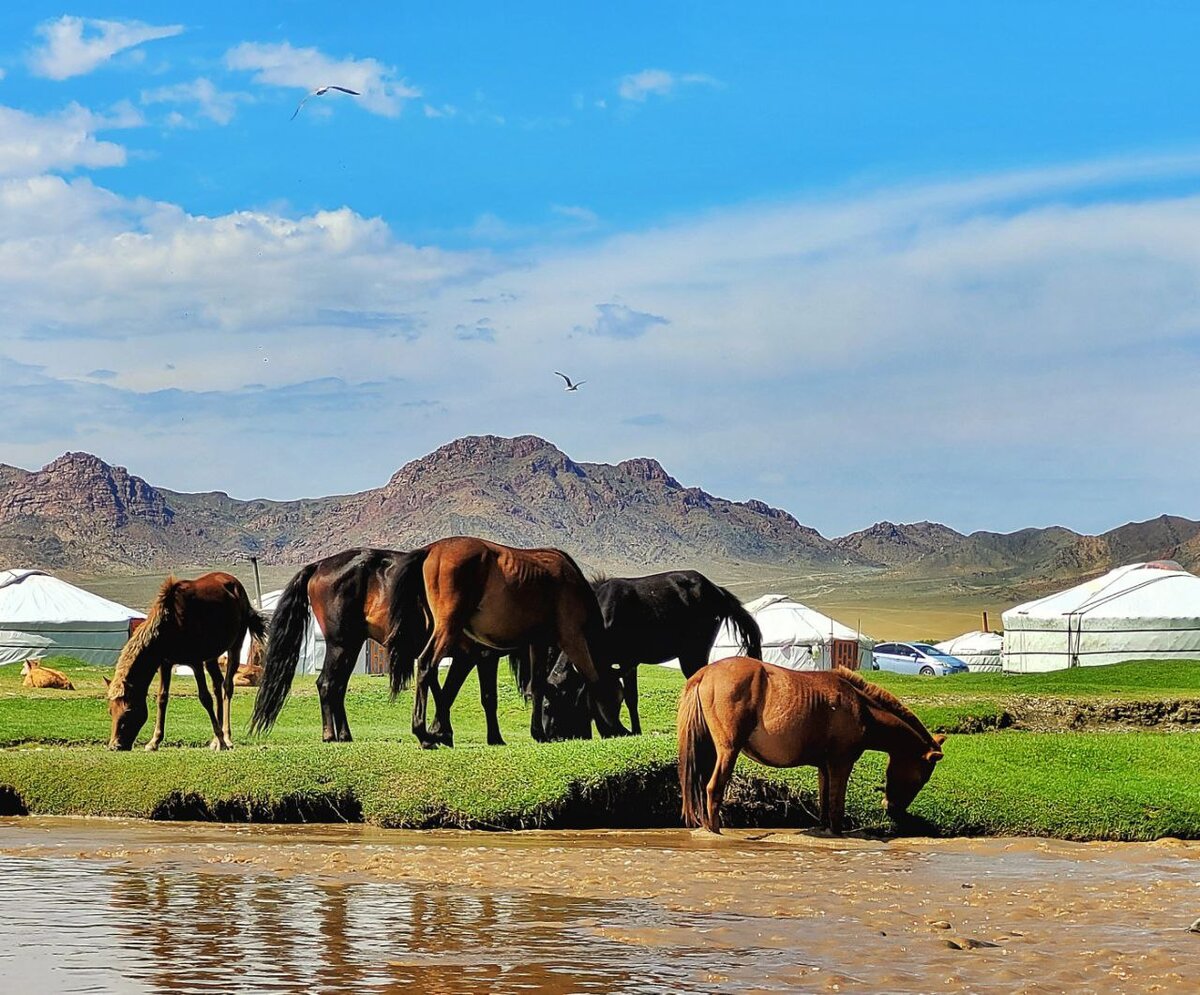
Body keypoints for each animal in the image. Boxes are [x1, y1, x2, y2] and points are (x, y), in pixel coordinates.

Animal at [104, 571, 266, 748]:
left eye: (128, 711)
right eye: (110, 710)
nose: (115, 746)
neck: (170, 624)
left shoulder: (195, 662)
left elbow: (205, 698)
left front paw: (222, 739)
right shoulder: (165, 663)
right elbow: (162, 697)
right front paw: (154, 741)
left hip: (235, 645)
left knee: (227, 687)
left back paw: (226, 738)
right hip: (212, 656)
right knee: (217, 685)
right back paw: (216, 741)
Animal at [250, 547, 504, 748]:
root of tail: (319, 566)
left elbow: (446, 691)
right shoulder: (478, 656)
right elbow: (476, 696)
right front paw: (491, 738)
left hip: (351, 646)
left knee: (338, 687)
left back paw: (345, 735)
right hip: (340, 645)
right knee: (326, 684)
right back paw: (330, 735)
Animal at [415, 535, 628, 739]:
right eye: (615, 700)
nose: (622, 732)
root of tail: (431, 550)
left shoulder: (537, 643)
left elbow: (537, 684)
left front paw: (537, 733)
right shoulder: (572, 637)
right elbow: (592, 677)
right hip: (449, 627)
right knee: (426, 664)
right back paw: (423, 733)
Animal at [532, 571, 758, 739]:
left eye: (548, 706)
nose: (551, 737)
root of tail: (718, 591)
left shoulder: (628, 662)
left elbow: (630, 698)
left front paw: (634, 731)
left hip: (693, 652)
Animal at [676, 657, 945, 835]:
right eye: (921, 778)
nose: (892, 809)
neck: (861, 708)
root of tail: (705, 672)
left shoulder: (824, 767)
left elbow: (825, 805)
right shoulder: (841, 764)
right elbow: (836, 809)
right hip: (728, 751)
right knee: (714, 788)